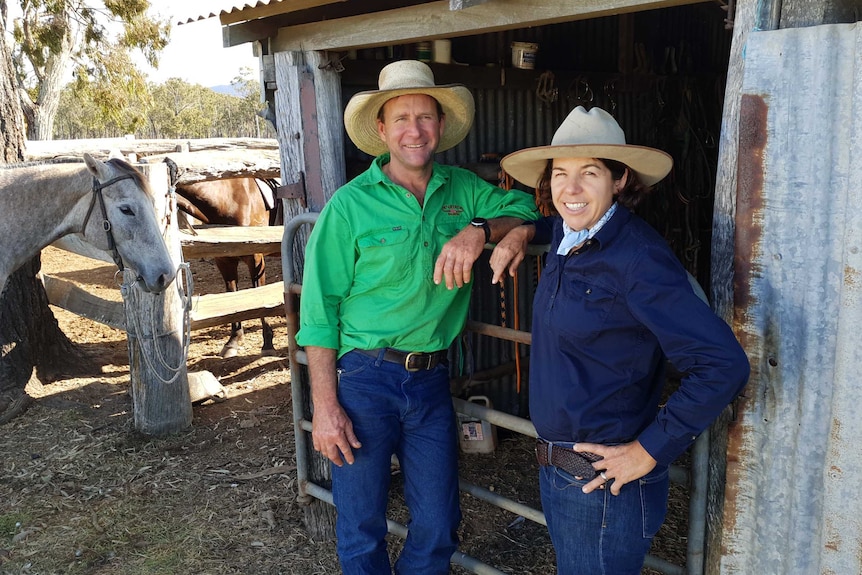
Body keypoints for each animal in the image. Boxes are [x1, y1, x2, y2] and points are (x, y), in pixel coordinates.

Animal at [174, 178, 282, 358]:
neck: (228, 198)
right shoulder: (224, 261)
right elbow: (233, 295)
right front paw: (233, 341)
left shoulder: (256, 257)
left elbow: (260, 295)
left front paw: (268, 344)